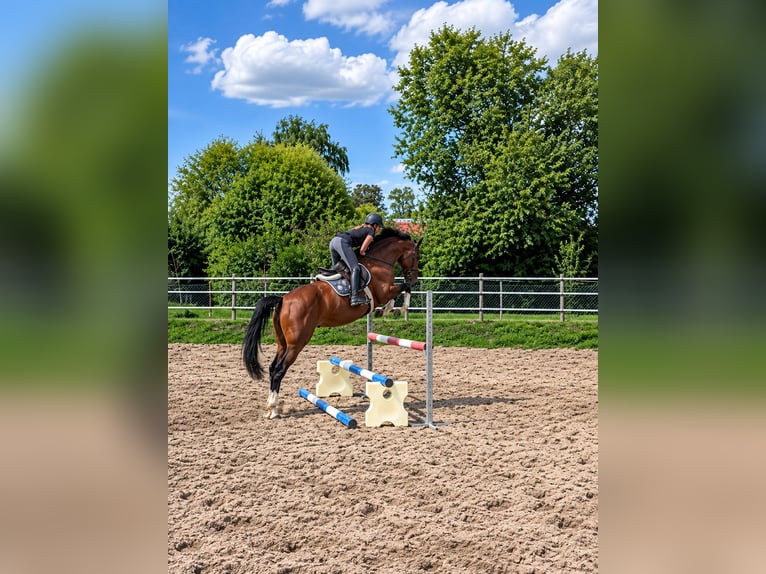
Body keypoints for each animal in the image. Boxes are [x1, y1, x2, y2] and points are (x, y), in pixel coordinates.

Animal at [243, 227, 421, 419]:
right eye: (416, 256)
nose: (415, 279)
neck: (379, 262)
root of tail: (282, 299)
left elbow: (401, 290)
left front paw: (387, 310)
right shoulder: (385, 291)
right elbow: (403, 288)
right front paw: (395, 308)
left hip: (282, 342)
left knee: (272, 367)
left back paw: (272, 407)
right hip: (297, 343)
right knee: (279, 370)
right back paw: (273, 408)